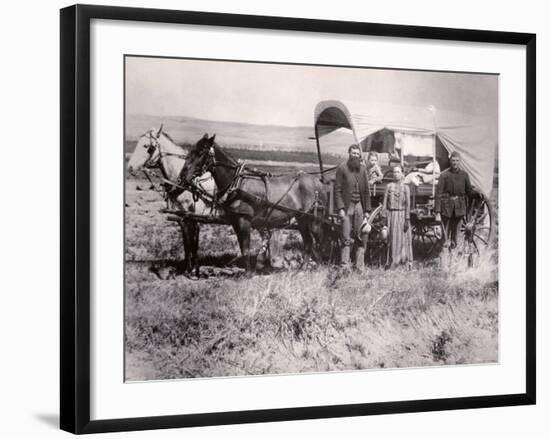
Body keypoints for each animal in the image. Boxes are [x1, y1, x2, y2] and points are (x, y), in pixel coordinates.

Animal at [128, 124, 217, 276]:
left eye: (147, 146)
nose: (130, 167)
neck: (186, 182)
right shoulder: (181, 216)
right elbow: (186, 242)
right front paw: (187, 268)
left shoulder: (195, 216)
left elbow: (194, 241)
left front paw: (195, 269)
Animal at [181, 134, 328, 272]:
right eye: (191, 151)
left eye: (201, 153)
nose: (183, 176)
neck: (237, 184)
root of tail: (318, 182)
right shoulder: (235, 221)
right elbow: (243, 248)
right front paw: (250, 270)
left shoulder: (244, 220)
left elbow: (246, 249)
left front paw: (248, 274)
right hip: (301, 218)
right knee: (308, 242)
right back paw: (302, 269)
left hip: (315, 220)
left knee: (320, 241)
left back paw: (323, 268)